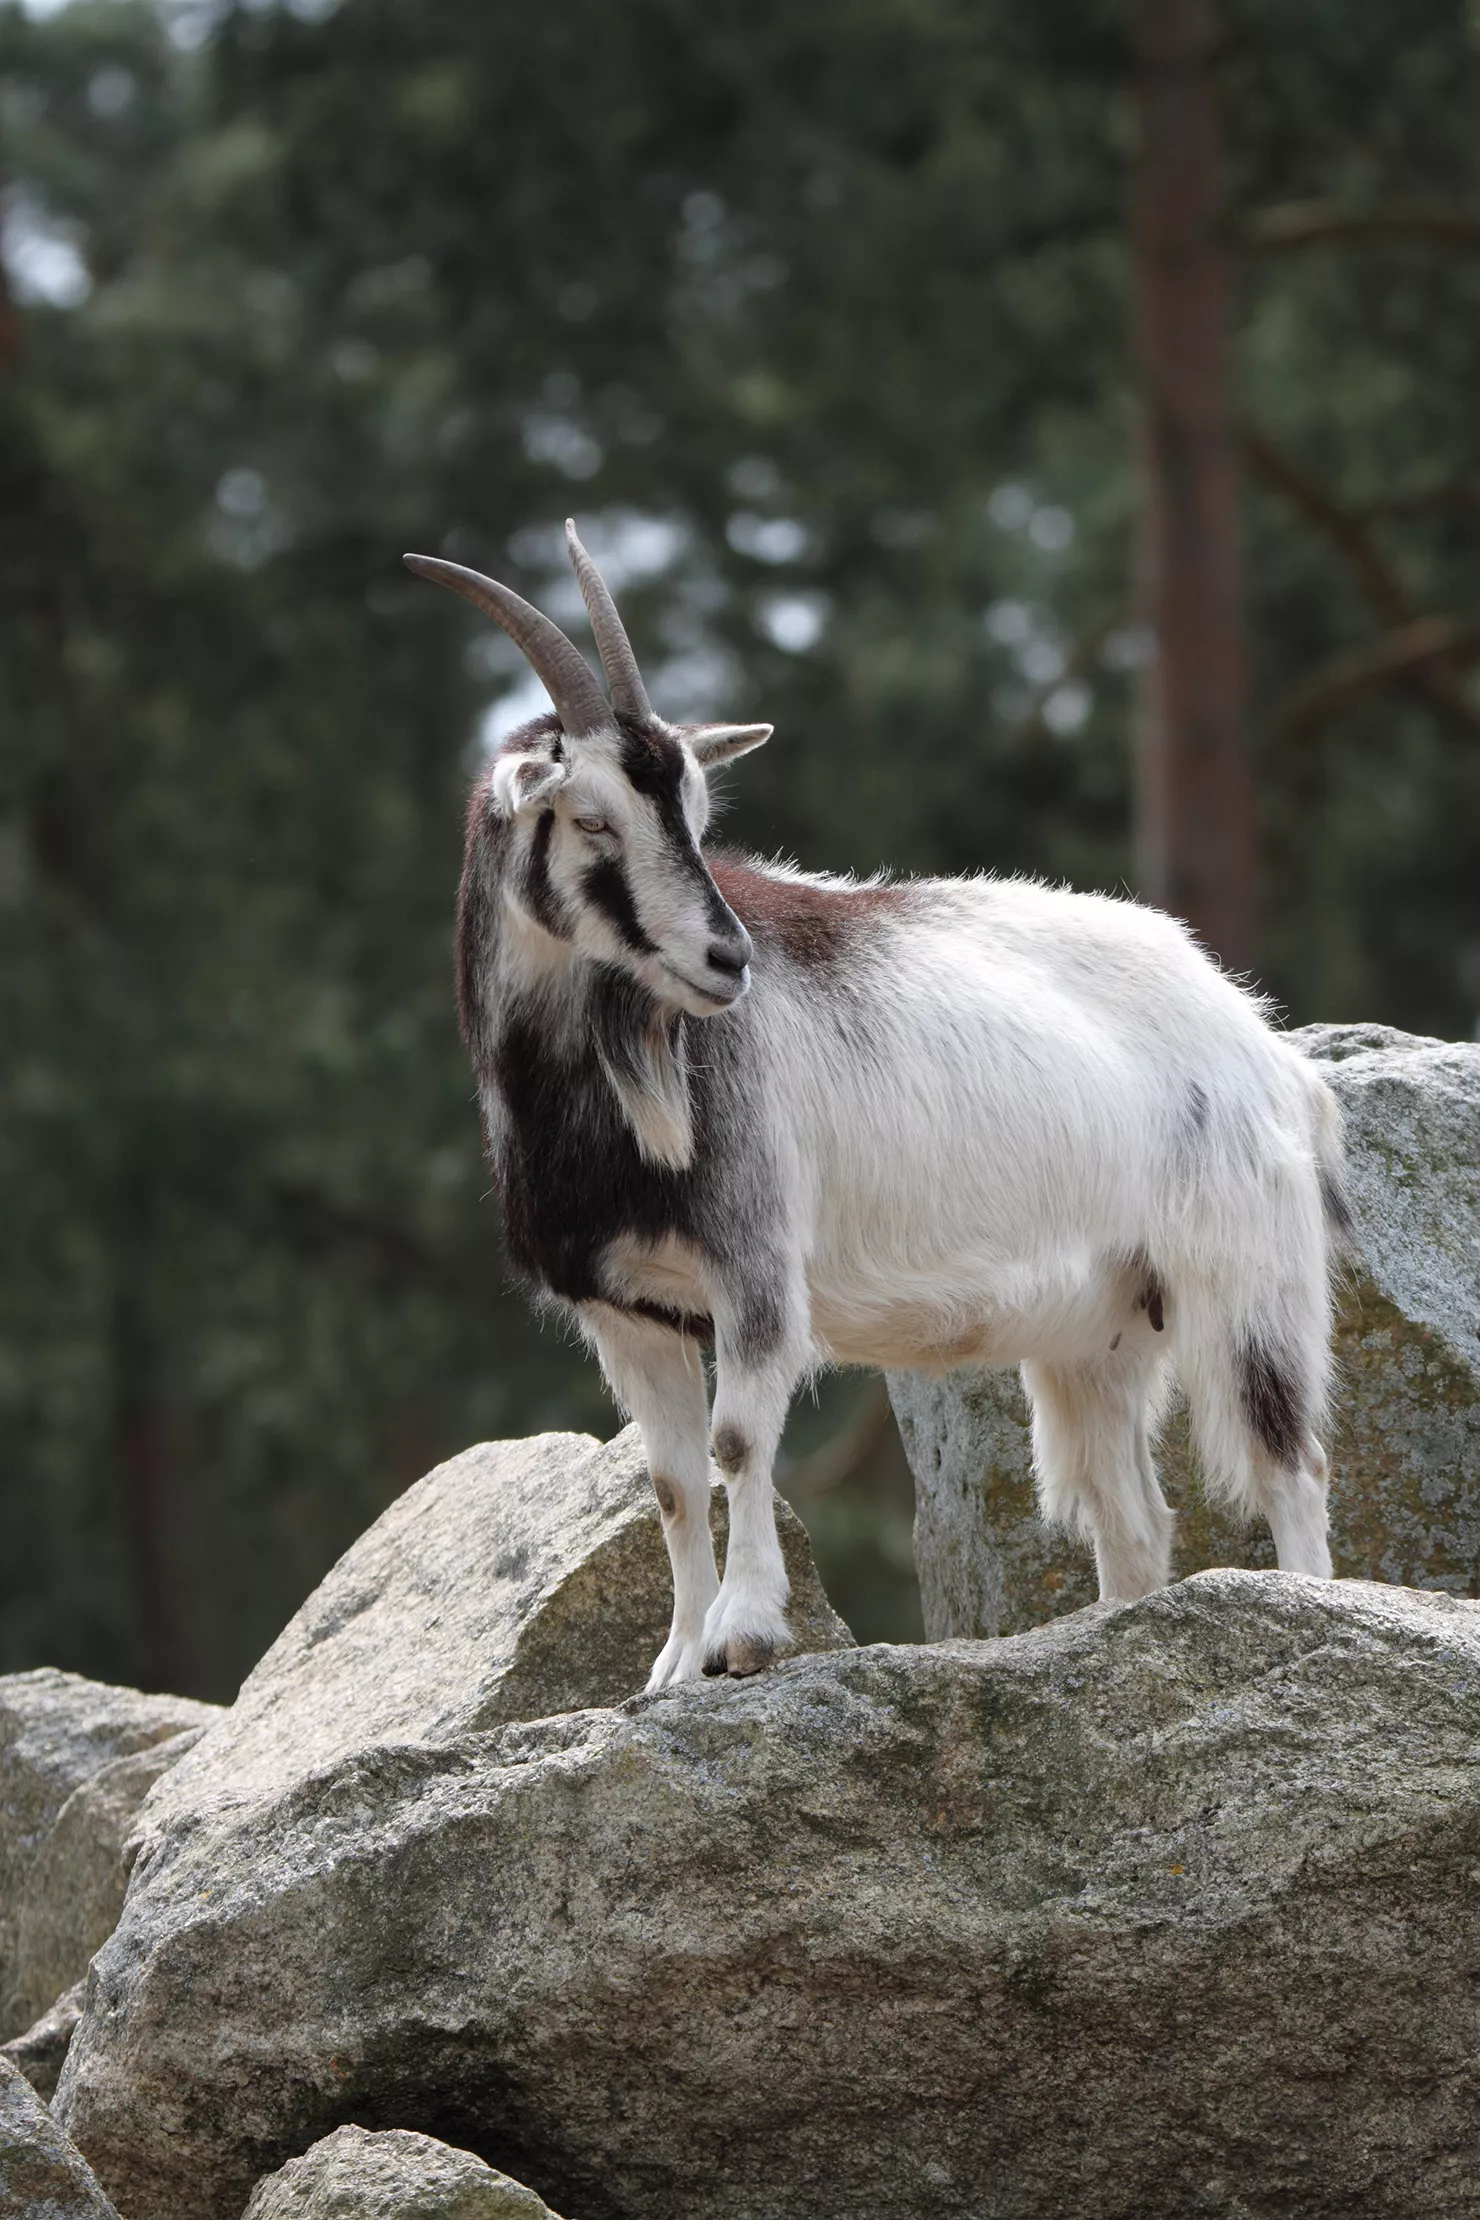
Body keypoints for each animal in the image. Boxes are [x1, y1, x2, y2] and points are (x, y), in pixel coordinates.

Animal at [410, 528, 1349, 1687]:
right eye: (590, 820)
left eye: (697, 819)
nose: (727, 961)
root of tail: (1262, 1045)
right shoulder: (626, 1310)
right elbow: (669, 1480)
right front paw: (673, 1662)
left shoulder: (756, 1269)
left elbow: (736, 1440)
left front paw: (743, 1636)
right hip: (1102, 1331)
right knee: (1132, 1518)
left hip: (1247, 1279)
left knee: (1290, 1465)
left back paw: (1314, 1610)